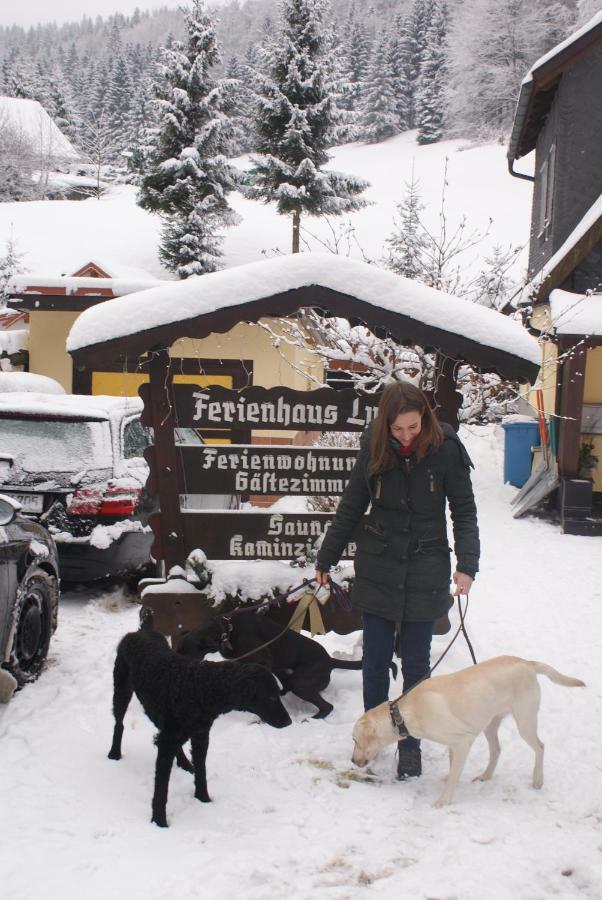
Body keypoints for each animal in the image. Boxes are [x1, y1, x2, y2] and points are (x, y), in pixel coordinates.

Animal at [108, 616, 290, 828]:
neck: (200, 687)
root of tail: (141, 630)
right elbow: (161, 788)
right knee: (119, 723)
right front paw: (159, 821)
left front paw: (204, 800)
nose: (289, 722)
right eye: (270, 697)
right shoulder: (168, 742)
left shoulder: (201, 736)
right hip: (122, 689)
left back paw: (184, 763)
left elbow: (201, 772)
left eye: (278, 694)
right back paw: (114, 753)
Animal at [176, 612, 396, 716]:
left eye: (186, 653)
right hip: (285, 672)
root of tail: (330, 660)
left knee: (327, 706)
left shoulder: (263, 660)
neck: (226, 631)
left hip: (301, 682)